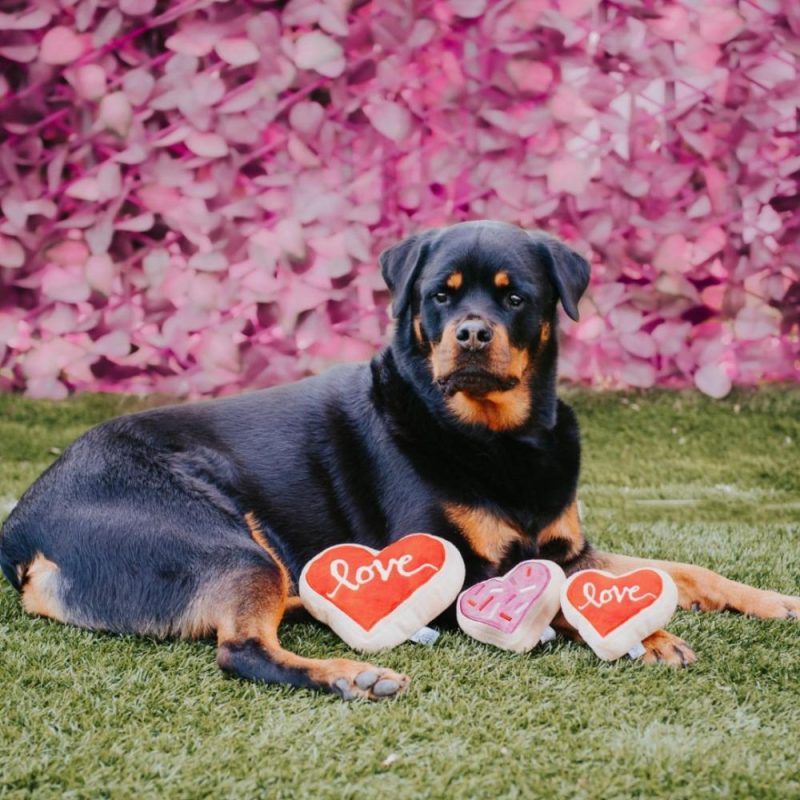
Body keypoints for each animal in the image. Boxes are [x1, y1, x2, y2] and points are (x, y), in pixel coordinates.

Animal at [1, 220, 800, 700]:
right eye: (440, 296)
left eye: (516, 298)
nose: (472, 333)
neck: (497, 438)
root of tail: (22, 525)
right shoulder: (457, 566)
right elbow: (560, 602)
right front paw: (653, 636)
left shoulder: (568, 548)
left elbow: (682, 570)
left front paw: (773, 600)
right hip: (226, 545)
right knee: (242, 650)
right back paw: (351, 676)